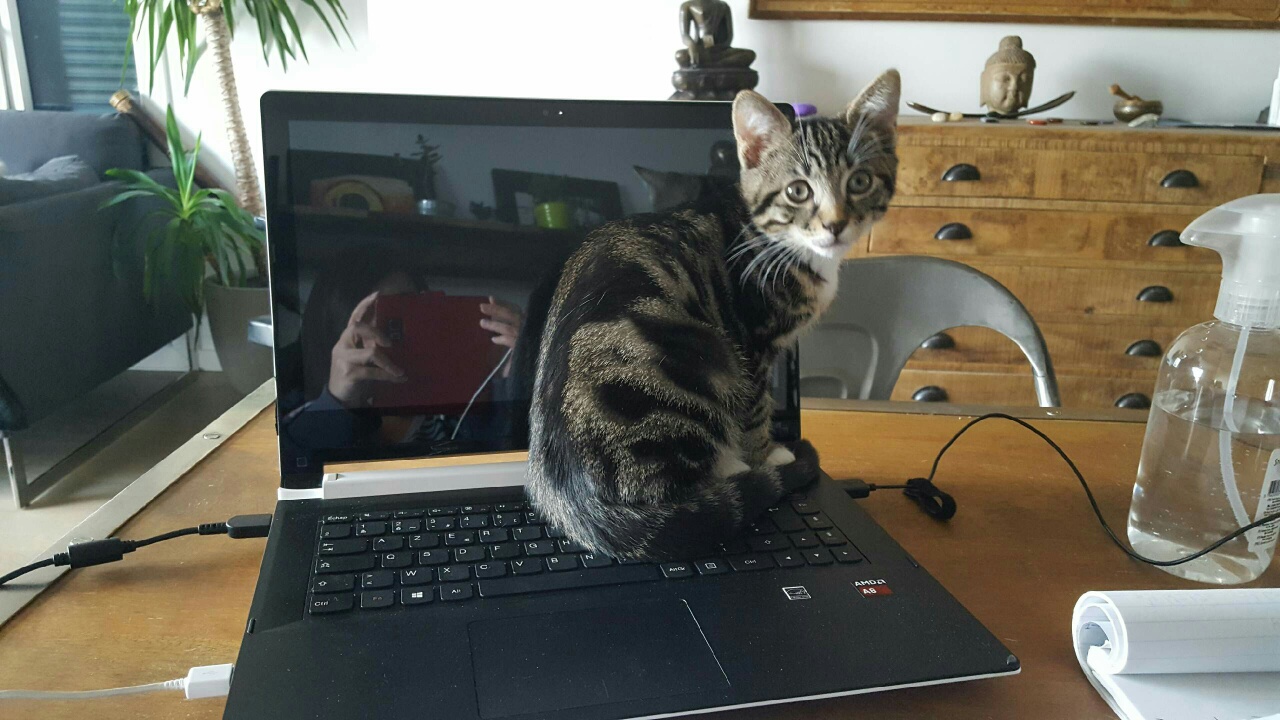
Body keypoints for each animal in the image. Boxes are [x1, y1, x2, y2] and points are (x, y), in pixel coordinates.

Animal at [526, 70, 901, 560]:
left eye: (859, 182)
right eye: (798, 190)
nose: (835, 224)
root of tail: (572, 502)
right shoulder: (750, 343)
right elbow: (756, 409)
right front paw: (767, 455)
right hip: (703, 355)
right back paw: (738, 471)